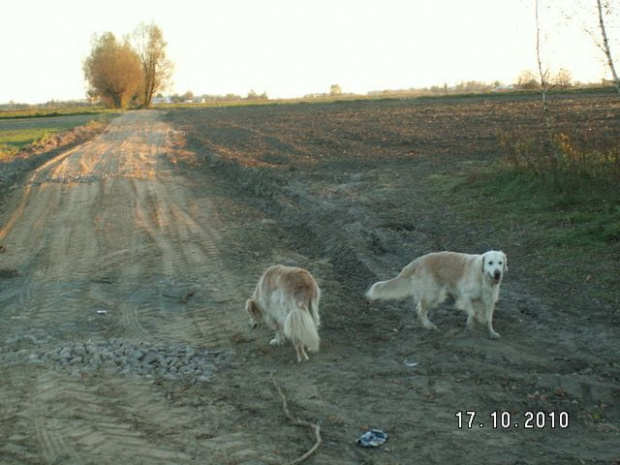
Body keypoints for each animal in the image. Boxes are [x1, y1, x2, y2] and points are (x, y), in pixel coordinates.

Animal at [366, 250, 506, 338]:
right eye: (490, 263)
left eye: (500, 263)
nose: (497, 273)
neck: (483, 278)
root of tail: (418, 260)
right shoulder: (465, 296)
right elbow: (472, 313)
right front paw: (470, 325)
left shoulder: (489, 301)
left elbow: (488, 319)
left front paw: (491, 332)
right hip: (433, 294)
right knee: (420, 310)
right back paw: (429, 326)